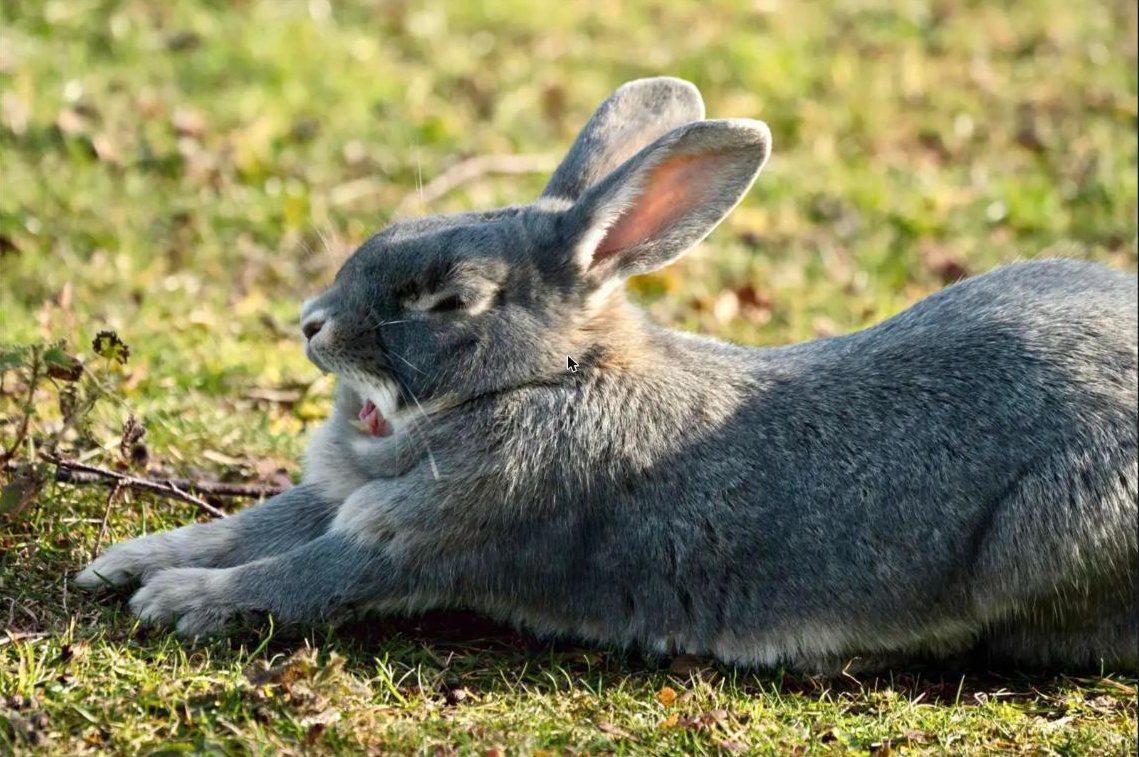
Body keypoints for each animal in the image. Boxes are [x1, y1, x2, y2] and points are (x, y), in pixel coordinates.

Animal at [77, 77, 1138, 674]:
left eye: (450, 300)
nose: (312, 326)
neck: (545, 378)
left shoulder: (421, 538)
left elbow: (302, 572)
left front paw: (180, 602)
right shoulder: (346, 495)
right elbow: (253, 524)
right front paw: (129, 560)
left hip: (1053, 532)